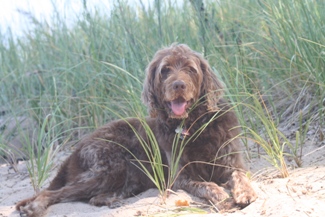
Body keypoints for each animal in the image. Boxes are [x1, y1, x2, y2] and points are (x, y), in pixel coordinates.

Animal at [15, 43, 256, 216]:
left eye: (190, 69)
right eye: (165, 70)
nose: (178, 85)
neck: (194, 125)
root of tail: (76, 148)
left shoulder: (231, 161)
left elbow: (240, 175)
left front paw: (245, 193)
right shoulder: (181, 177)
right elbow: (208, 185)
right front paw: (223, 199)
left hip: (125, 176)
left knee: (89, 196)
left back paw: (111, 199)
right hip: (109, 168)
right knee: (54, 193)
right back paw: (34, 208)